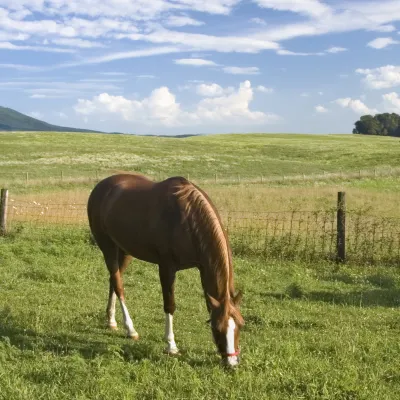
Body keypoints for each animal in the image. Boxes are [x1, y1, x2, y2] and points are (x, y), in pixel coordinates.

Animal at [87, 173, 244, 368]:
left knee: (114, 281)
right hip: (107, 246)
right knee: (118, 284)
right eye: (216, 327)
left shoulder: (202, 268)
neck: (187, 218)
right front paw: (171, 345)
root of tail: (101, 186)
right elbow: (170, 304)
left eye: (241, 325)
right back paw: (131, 329)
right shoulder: (167, 268)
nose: (232, 363)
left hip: (125, 250)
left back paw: (111, 320)